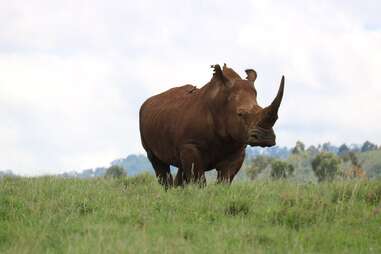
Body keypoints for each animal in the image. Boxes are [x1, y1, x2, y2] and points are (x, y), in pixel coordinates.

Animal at [138, 64, 284, 187]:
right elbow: (198, 179)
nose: (266, 138)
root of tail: (147, 102)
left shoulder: (237, 149)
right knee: (157, 162)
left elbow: (225, 179)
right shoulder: (190, 144)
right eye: (240, 114)